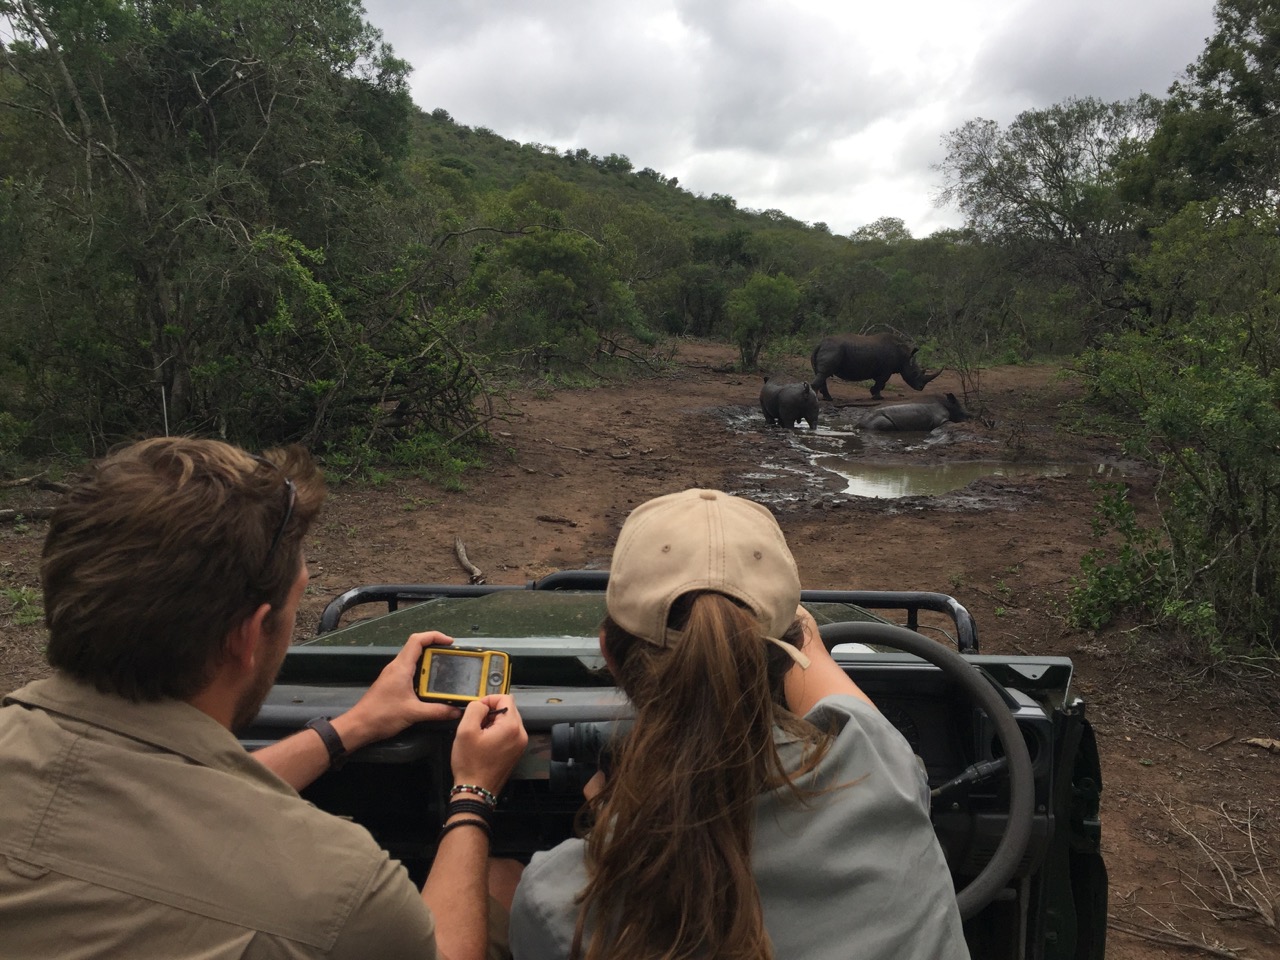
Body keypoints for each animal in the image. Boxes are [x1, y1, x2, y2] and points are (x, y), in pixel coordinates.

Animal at [810, 333, 942, 401]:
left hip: (830, 349)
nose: (921, 388)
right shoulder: (886, 370)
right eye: (914, 373)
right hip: (833, 349)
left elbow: (881, 383)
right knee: (824, 374)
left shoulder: (882, 370)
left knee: (822, 374)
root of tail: (820, 344)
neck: (904, 356)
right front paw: (878, 397)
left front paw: (873, 393)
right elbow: (881, 382)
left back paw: (828, 398)